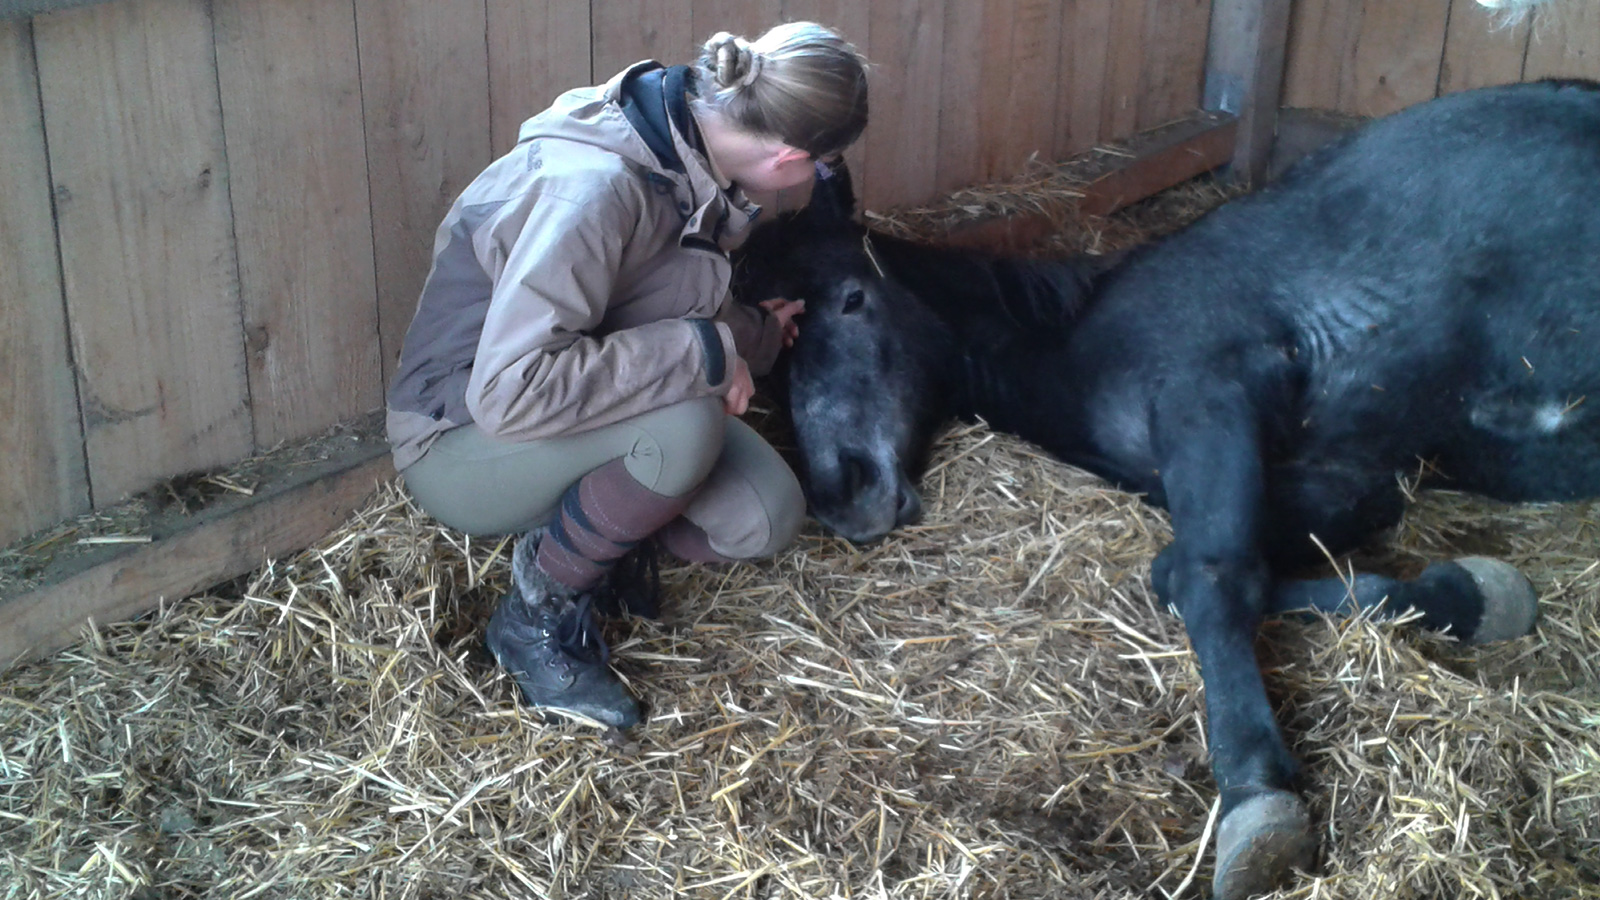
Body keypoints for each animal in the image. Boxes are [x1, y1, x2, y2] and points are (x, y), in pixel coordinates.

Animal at [732, 79, 1600, 899]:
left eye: (853, 299)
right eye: (770, 358)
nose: (846, 494)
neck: (1073, 334)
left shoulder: (1208, 388)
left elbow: (1208, 574)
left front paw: (1257, 800)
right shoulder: (1347, 478)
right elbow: (1194, 570)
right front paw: (1474, 595)